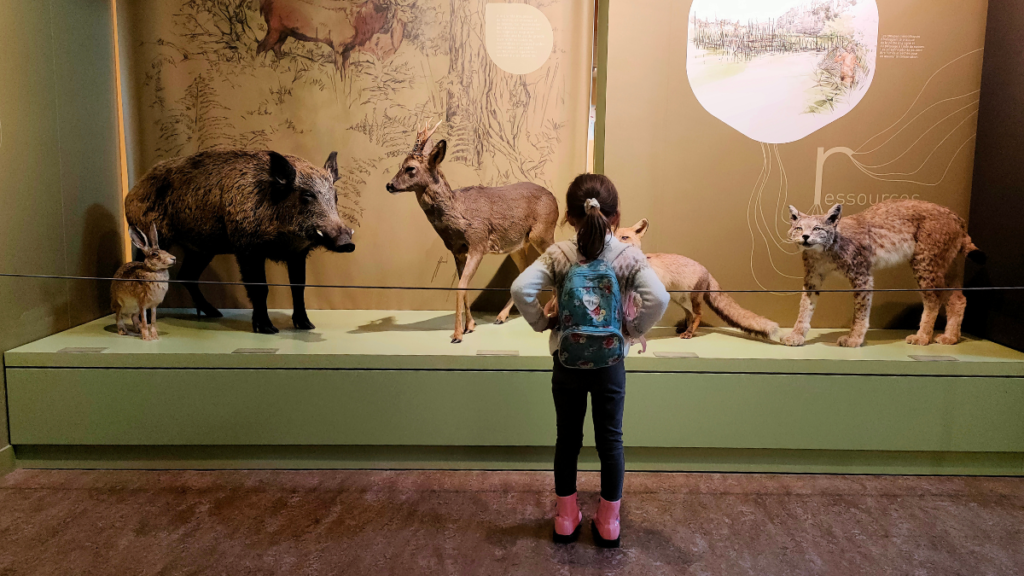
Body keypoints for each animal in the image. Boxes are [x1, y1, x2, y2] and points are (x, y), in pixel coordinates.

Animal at [385, 120, 561, 340]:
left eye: (410, 168)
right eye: (401, 164)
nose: (389, 185)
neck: (458, 214)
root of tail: (555, 200)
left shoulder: (478, 242)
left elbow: (460, 287)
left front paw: (457, 334)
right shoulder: (458, 250)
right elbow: (465, 286)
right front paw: (470, 325)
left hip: (543, 232)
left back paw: (554, 314)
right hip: (518, 245)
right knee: (523, 271)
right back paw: (501, 316)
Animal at [614, 217, 774, 338]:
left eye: (624, 237)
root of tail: (707, 271)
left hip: (692, 299)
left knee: (698, 315)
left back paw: (689, 332)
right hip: (681, 300)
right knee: (689, 314)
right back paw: (684, 328)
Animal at [782, 199, 983, 348]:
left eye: (817, 228)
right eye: (799, 228)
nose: (805, 237)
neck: (823, 251)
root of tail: (956, 216)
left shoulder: (862, 275)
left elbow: (860, 310)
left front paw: (854, 339)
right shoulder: (813, 278)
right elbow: (805, 306)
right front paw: (796, 335)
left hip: (924, 261)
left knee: (934, 298)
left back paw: (922, 337)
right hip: (946, 265)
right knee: (958, 298)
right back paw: (951, 338)